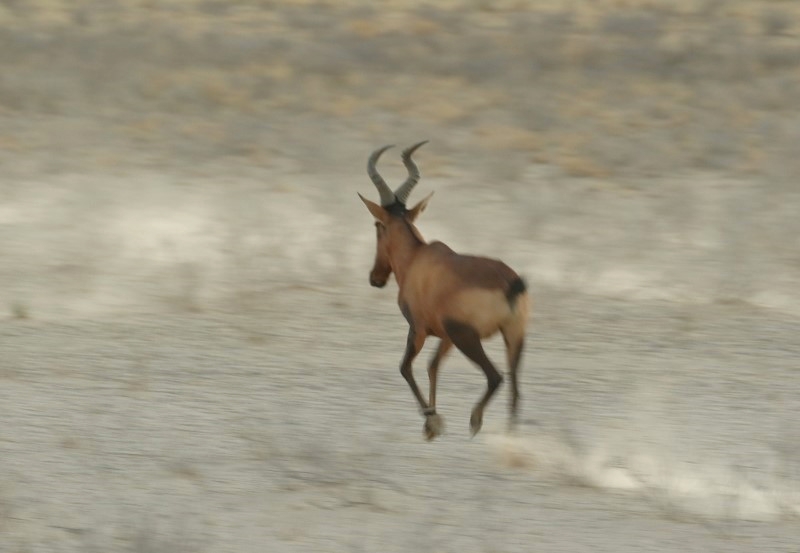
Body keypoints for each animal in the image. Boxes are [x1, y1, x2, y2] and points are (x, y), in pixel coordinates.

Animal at [358, 141, 530, 441]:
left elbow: (405, 367)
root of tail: (510, 283)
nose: (375, 278)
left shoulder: (418, 329)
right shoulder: (445, 336)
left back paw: (475, 421)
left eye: (378, 225)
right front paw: (431, 423)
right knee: (515, 392)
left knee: (495, 377)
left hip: (468, 337)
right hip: (513, 336)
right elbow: (432, 366)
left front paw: (432, 421)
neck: (418, 258)